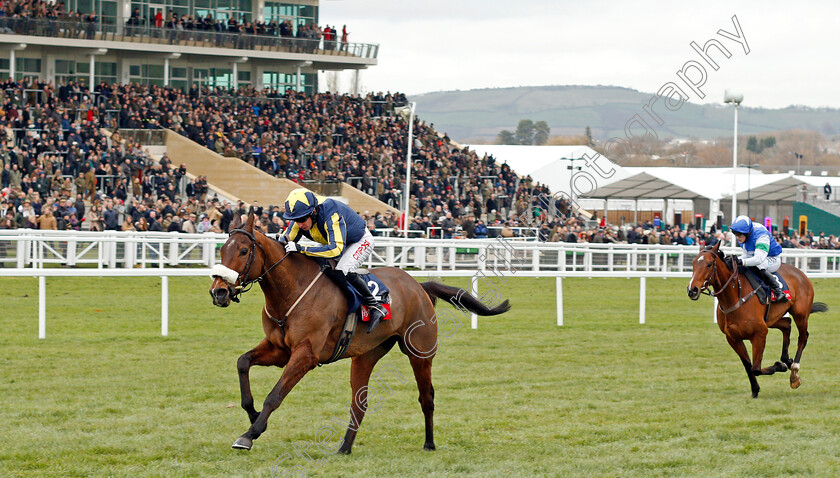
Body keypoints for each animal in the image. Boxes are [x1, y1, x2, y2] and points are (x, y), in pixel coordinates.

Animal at [210, 213, 512, 452]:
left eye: (244, 251)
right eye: (222, 250)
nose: (219, 292)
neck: (293, 291)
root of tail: (418, 286)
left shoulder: (306, 355)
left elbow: (275, 395)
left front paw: (249, 434)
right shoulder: (279, 349)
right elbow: (242, 362)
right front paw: (252, 413)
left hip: (420, 353)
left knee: (426, 397)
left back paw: (429, 443)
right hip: (366, 355)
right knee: (360, 403)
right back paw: (344, 447)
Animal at [688, 241, 828, 398]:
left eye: (709, 264)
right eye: (693, 263)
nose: (692, 290)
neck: (735, 297)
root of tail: (801, 273)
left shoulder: (760, 333)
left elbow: (756, 367)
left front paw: (779, 366)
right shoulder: (733, 338)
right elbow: (748, 365)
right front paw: (755, 389)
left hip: (801, 314)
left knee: (803, 337)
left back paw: (794, 372)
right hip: (772, 318)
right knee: (787, 324)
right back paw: (786, 359)